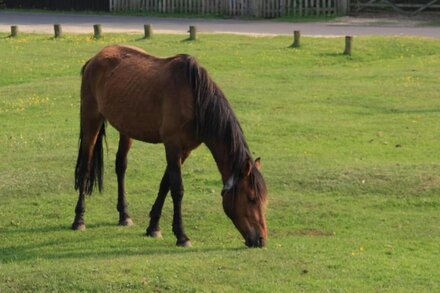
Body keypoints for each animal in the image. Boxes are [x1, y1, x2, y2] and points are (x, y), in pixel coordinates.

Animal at [72, 45, 268, 246]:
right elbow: (177, 189)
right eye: (251, 198)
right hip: (91, 119)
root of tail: (94, 59)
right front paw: (181, 235)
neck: (195, 100)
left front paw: (153, 227)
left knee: (121, 166)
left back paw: (124, 215)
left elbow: (165, 184)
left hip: (125, 127)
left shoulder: (185, 150)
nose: (261, 239)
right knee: (85, 168)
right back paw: (79, 220)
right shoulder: (172, 145)